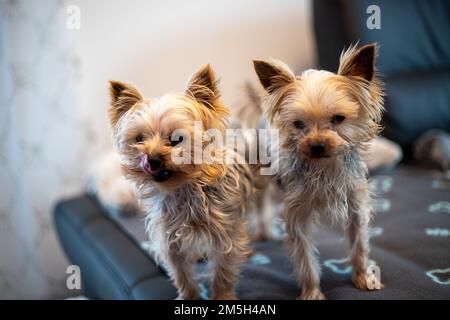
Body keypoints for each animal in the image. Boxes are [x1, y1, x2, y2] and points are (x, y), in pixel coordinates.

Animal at [107, 65, 251, 300]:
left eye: (176, 139)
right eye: (139, 139)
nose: (152, 159)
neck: (182, 188)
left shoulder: (224, 233)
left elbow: (222, 271)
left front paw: (222, 296)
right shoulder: (169, 240)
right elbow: (181, 274)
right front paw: (189, 296)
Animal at [255, 43, 384, 298]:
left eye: (338, 118)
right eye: (298, 124)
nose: (316, 145)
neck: (325, 167)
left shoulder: (356, 206)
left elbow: (359, 245)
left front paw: (363, 277)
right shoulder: (297, 216)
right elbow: (305, 259)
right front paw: (312, 292)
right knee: (261, 200)